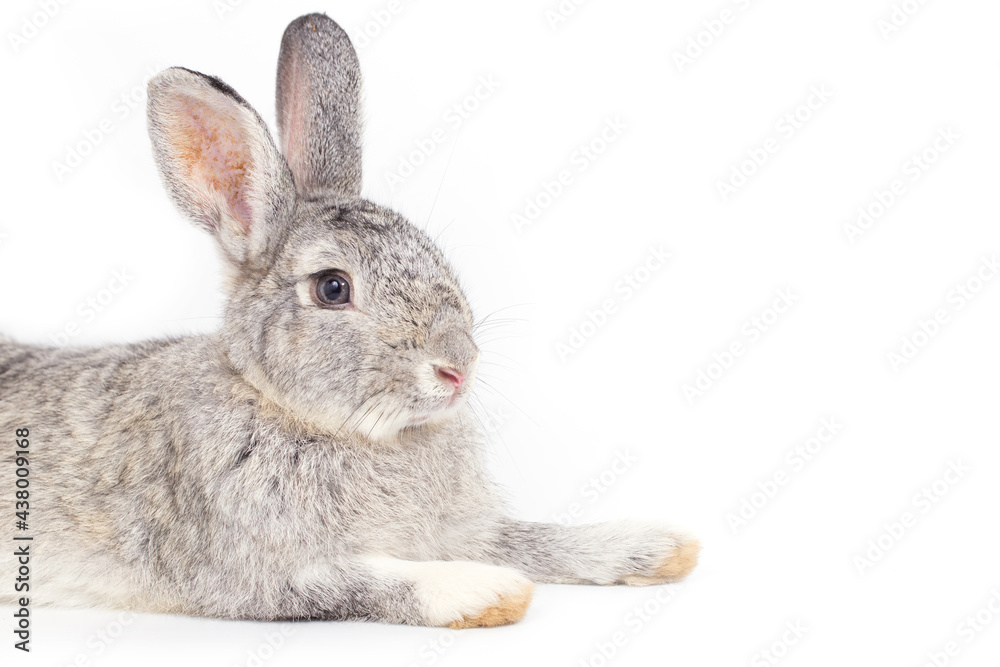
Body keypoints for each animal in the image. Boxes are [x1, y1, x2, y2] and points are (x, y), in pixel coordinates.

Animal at [0, 13, 698, 628]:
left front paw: (659, 547)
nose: (458, 368)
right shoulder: (257, 574)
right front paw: (485, 592)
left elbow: (528, 536)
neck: (292, 411)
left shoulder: (462, 528)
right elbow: (369, 580)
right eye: (333, 288)